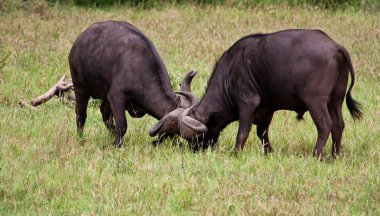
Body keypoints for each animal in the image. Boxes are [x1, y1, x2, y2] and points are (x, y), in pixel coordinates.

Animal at [69, 20, 197, 147]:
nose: (196, 146)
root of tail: (78, 41)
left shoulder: (112, 97)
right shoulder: (116, 98)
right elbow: (122, 125)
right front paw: (116, 144)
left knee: (104, 112)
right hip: (80, 88)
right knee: (81, 114)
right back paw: (81, 139)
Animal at [150, 29, 364, 159]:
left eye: (193, 138)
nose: (195, 150)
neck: (230, 75)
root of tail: (335, 46)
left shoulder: (247, 104)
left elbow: (243, 132)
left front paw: (235, 152)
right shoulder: (267, 109)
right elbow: (262, 133)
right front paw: (269, 152)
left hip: (316, 101)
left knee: (325, 124)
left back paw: (316, 155)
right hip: (336, 101)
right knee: (338, 125)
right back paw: (334, 155)